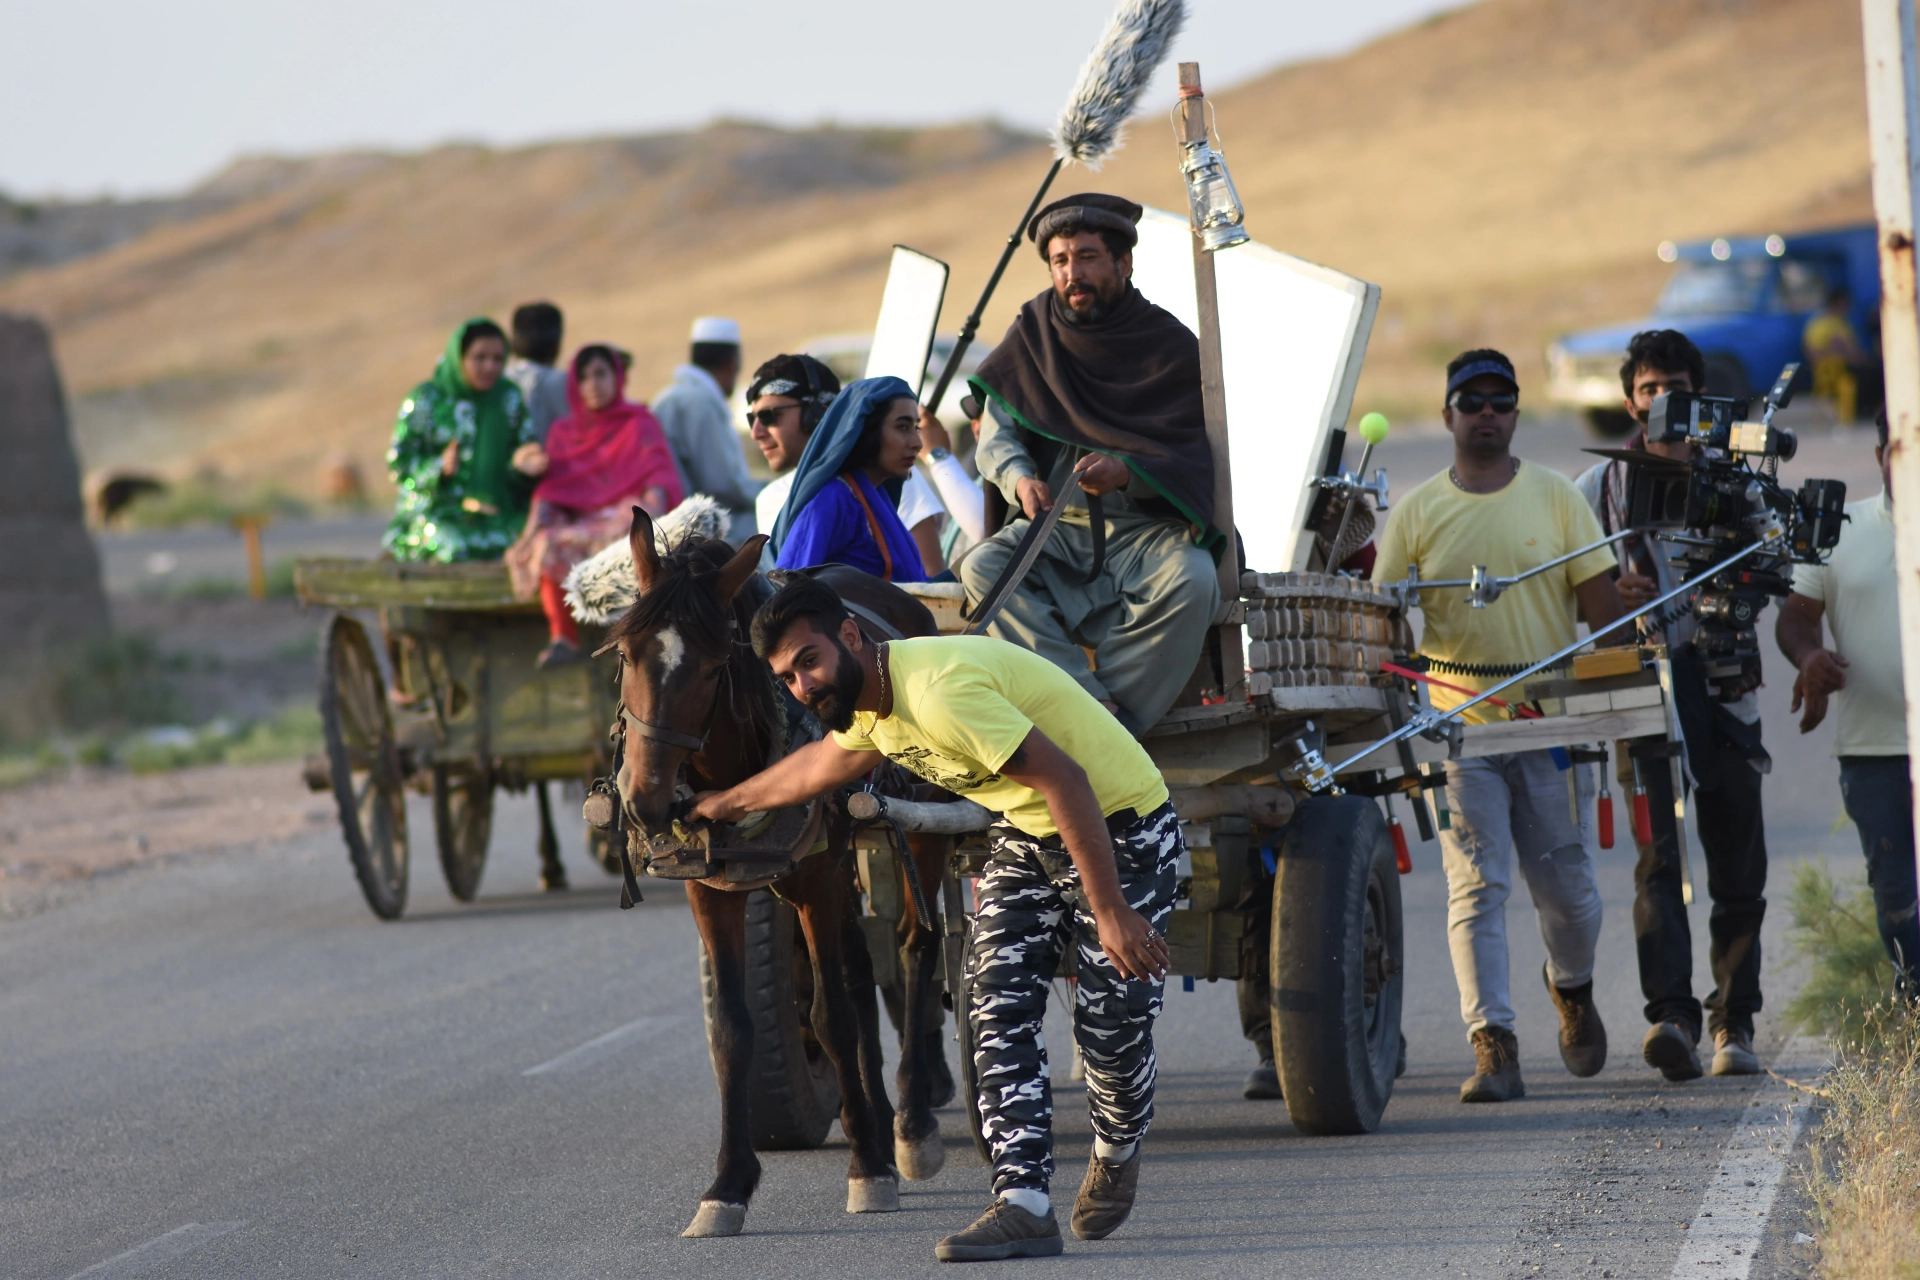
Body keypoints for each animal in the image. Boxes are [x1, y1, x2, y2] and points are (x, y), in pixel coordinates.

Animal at [606, 510, 952, 1243]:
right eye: (625, 655)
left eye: (713, 668)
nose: (646, 801)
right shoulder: (709, 891)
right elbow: (733, 1030)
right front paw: (728, 1185)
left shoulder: (818, 881)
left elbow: (831, 1016)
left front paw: (868, 1168)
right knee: (859, 967)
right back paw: (877, 1117)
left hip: (921, 827)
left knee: (916, 949)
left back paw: (909, 1126)